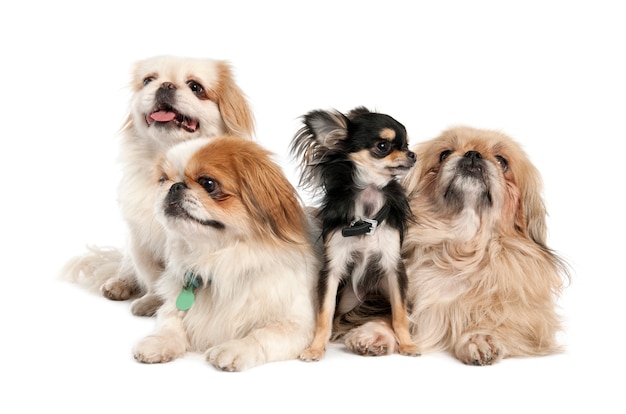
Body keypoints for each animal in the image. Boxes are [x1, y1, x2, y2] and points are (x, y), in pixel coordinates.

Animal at [60, 55, 251, 316]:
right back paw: (120, 283)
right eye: (148, 80)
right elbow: (152, 276)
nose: (166, 85)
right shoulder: (142, 239)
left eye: (196, 87)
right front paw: (152, 301)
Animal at [132, 136, 316, 372]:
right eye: (163, 180)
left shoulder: (298, 325)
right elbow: (170, 324)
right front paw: (158, 342)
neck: (217, 260)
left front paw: (233, 349)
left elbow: (261, 335)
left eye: (208, 184)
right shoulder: (173, 308)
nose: (175, 186)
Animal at [292, 106, 420, 360]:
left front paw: (407, 344)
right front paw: (315, 348)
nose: (412, 155)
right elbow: (324, 314)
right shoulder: (332, 270)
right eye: (383, 146)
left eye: (407, 145)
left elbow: (399, 313)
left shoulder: (394, 267)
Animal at [344, 127, 568, 366]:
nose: (473, 154)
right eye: (444, 154)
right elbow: (392, 315)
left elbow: (495, 318)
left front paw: (479, 338)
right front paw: (374, 332)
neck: (460, 242)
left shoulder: (528, 317)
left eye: (502, 161)